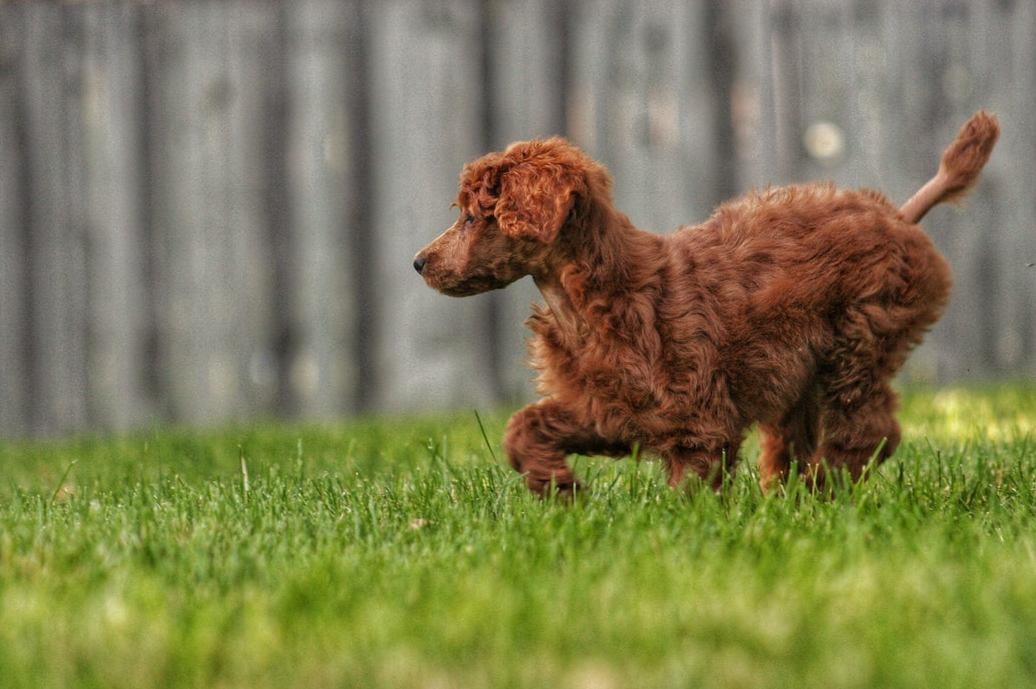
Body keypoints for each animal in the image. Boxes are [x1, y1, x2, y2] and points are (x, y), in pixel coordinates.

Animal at [410, 115, 994, 497]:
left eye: (472, 217)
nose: (418, 263)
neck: (586, 298)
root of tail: (898, 215)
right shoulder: (609, 406)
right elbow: (523, 429)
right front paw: (560, 489)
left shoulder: (695, 415)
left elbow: (692, 483)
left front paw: (677, 530)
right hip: (799, 377)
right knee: (796, 441)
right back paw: (791, 501)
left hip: (860, 342)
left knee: (869, 430)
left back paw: (829, 491)